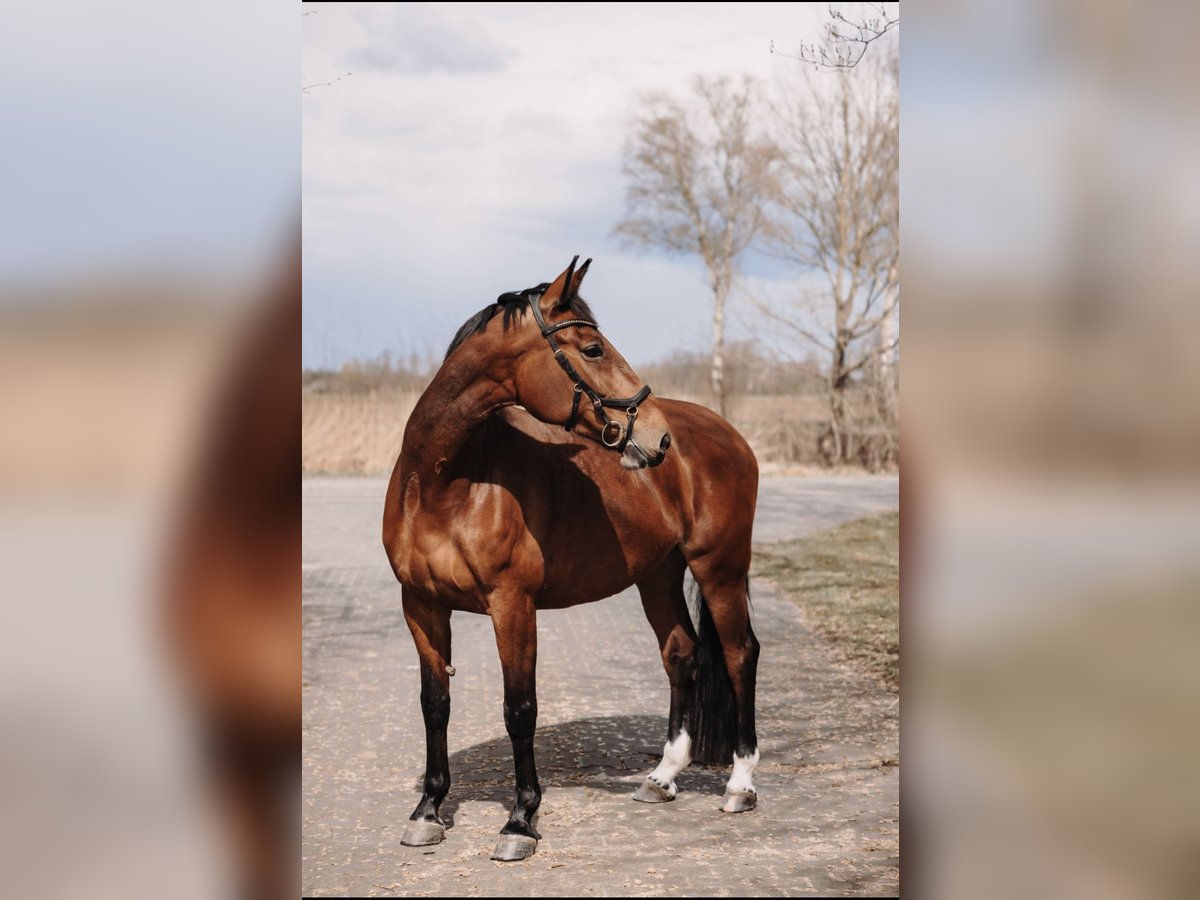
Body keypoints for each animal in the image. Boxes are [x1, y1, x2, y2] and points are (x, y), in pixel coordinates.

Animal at [381, 256, 758, 864]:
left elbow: (520, 709)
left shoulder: (512, 605)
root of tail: (725, 433)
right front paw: (428, 811)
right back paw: (662, 778)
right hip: (658, 575)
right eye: (593, 348)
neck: (444, 482)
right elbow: (434, 703)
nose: (658, 437)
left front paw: (520, 822)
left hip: (720, 568)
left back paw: (741, 784)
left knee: (738, 655)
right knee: (682, 655)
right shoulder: (420, 606)